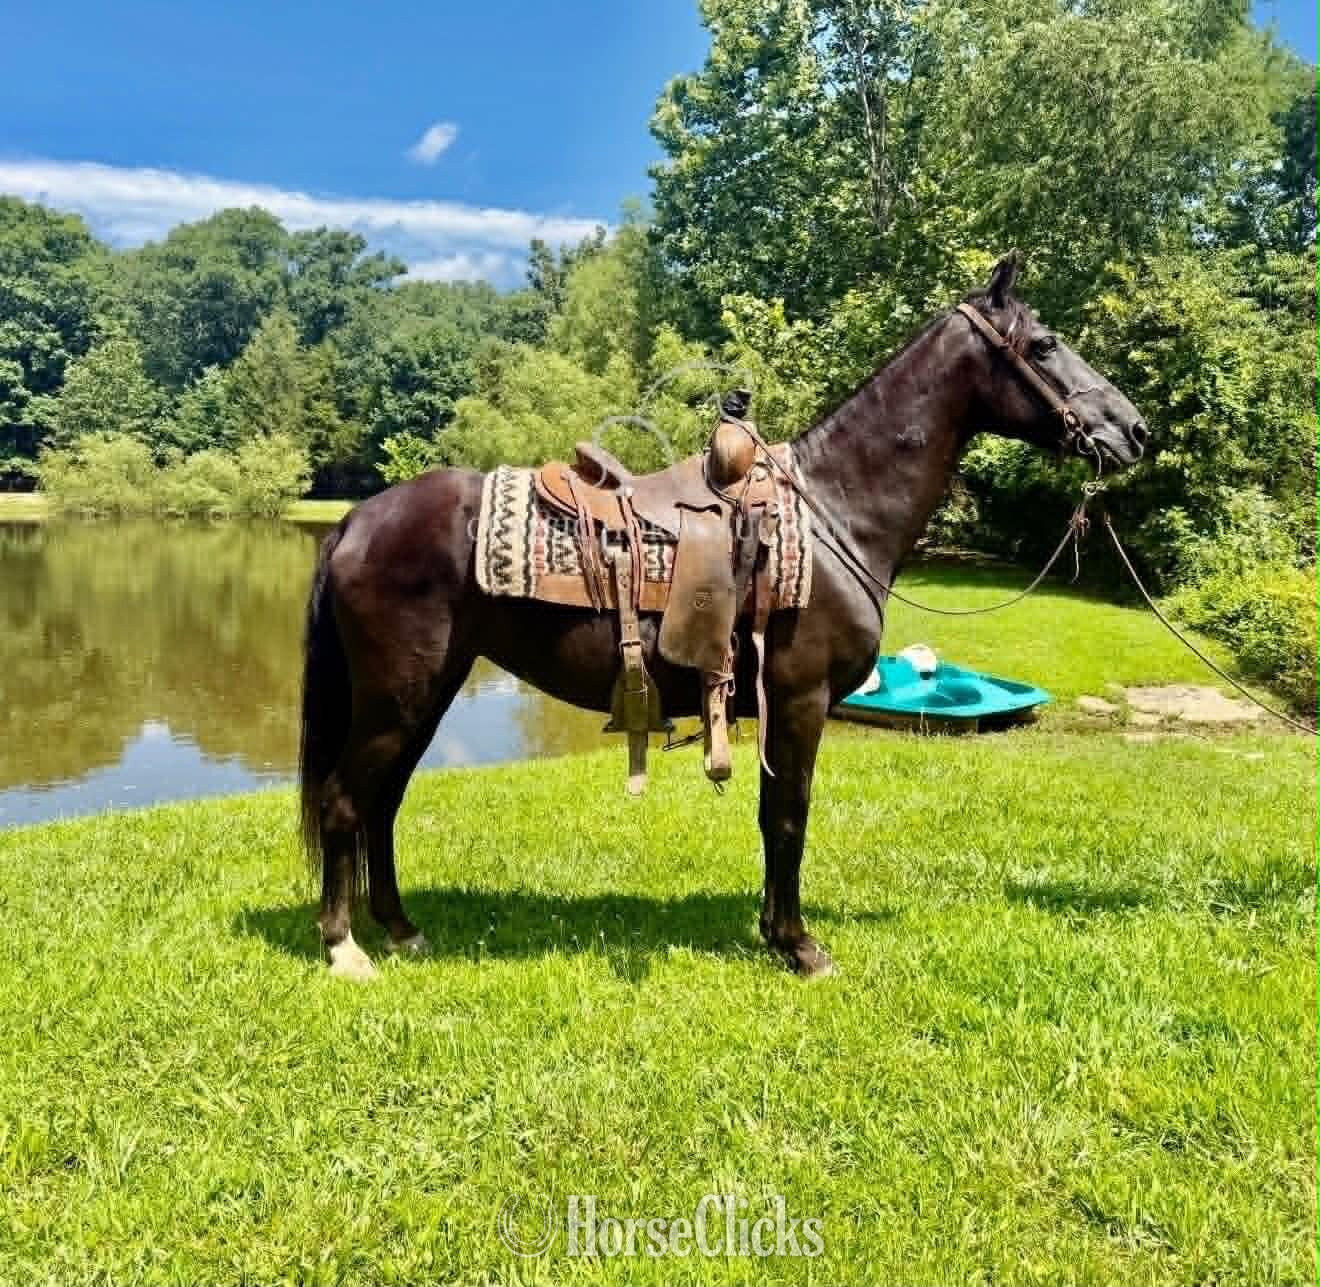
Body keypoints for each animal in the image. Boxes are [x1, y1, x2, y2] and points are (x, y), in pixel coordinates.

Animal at [298, 255, 1148, 981]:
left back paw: (400, 927)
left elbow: (775, 814)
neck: (834, 508)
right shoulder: (800, 700)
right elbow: (790, 815)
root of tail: (355, 519)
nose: (1134, 429)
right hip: (397, 697)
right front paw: (800, 944)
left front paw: (775, 932)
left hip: (425, 693)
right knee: (345, 799)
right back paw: (344, 946)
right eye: (1046, 343)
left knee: (382, 801)